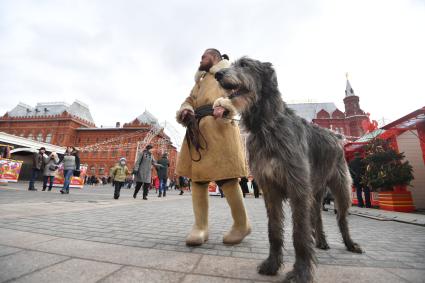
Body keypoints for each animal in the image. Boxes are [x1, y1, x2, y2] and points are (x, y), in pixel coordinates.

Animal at [214, 56, 362, 282]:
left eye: (245, 64)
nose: (217, 74)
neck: (266, 125)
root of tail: (337, 136)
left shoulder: (297, 188)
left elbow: (299, 233)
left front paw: (301, 271)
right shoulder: (270, 190)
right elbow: (274, 230)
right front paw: (272, 264)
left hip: (341, 188)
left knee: (341, 218)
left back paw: (349, 243)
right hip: (315, 191)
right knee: (317, 216)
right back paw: (321, 241)